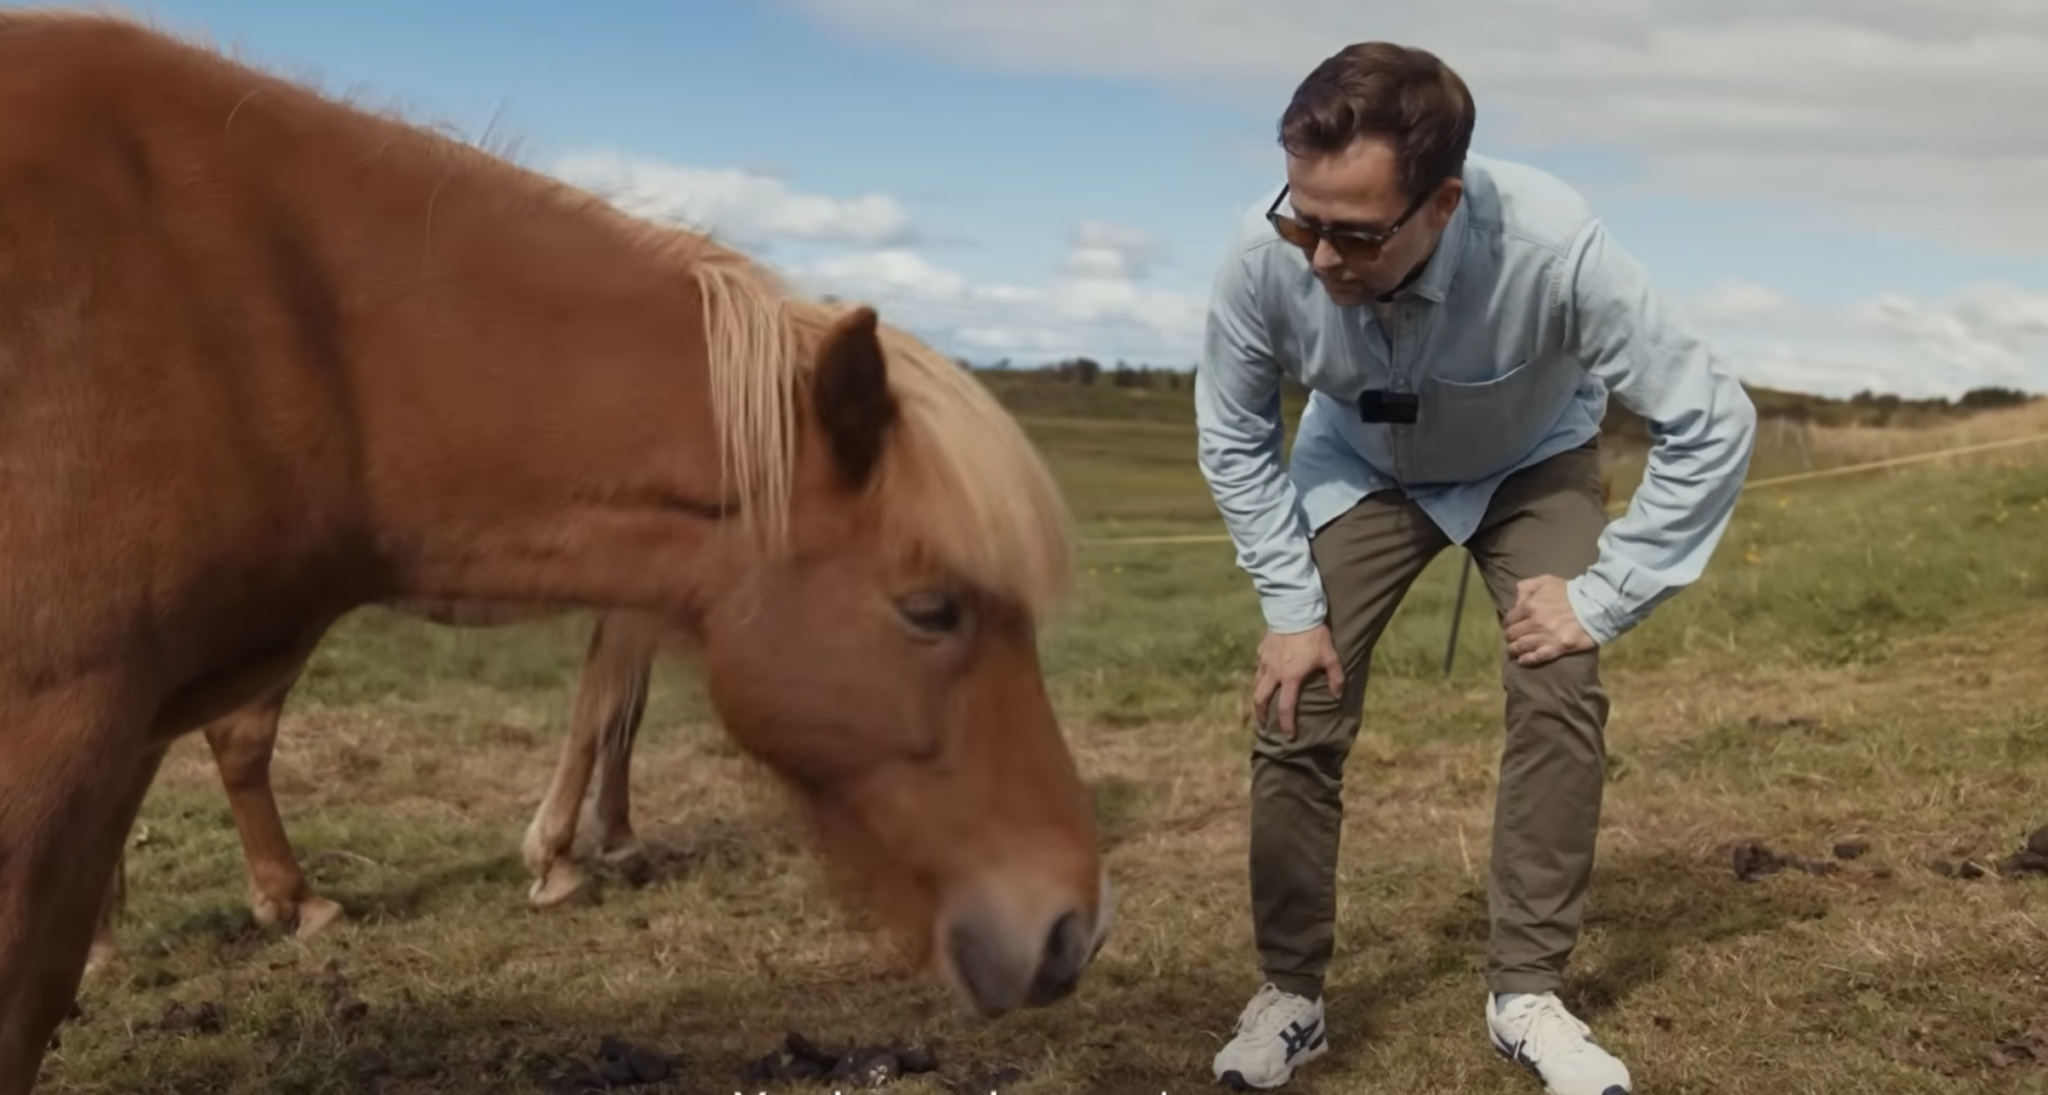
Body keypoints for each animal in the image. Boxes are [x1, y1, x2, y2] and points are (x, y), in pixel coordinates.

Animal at [85, 605, 667, 976]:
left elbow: (626, 708)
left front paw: (618, 838)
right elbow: (605, 706)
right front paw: (557, 862)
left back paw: (101, 940)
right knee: (235, 734)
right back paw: (302, 902)